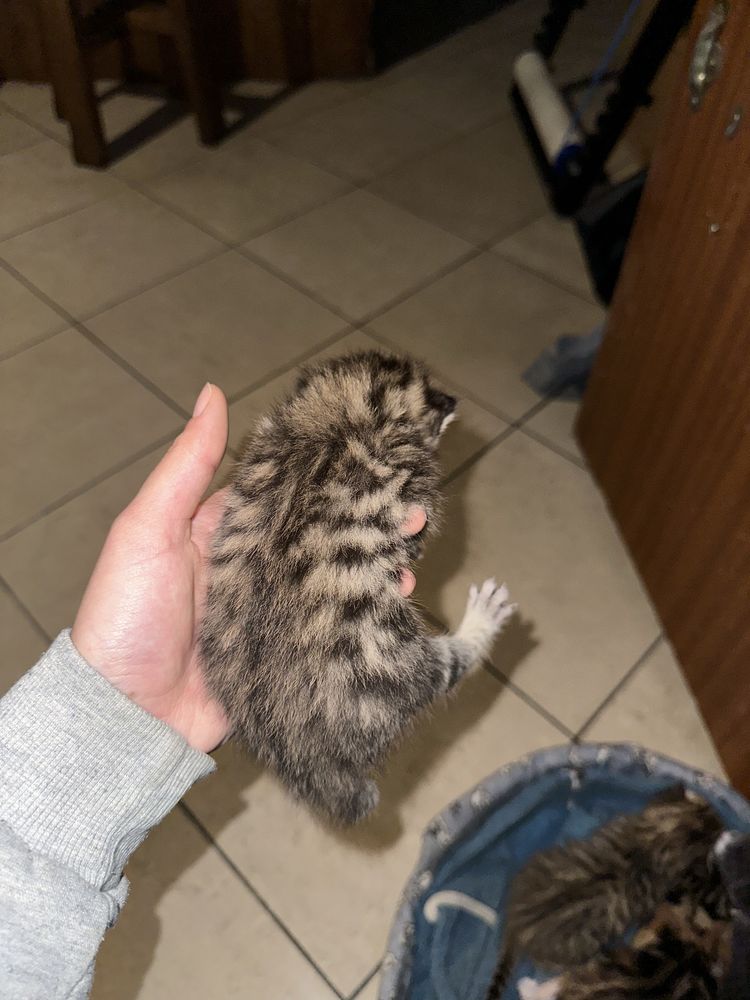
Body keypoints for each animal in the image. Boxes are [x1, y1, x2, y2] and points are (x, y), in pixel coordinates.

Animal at [200, 356, 516, 824]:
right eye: (430, 395)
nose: (452, 400)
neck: (345, 416)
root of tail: (299, 751)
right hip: (394, 663)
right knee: (448, 667)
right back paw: (483, 617)